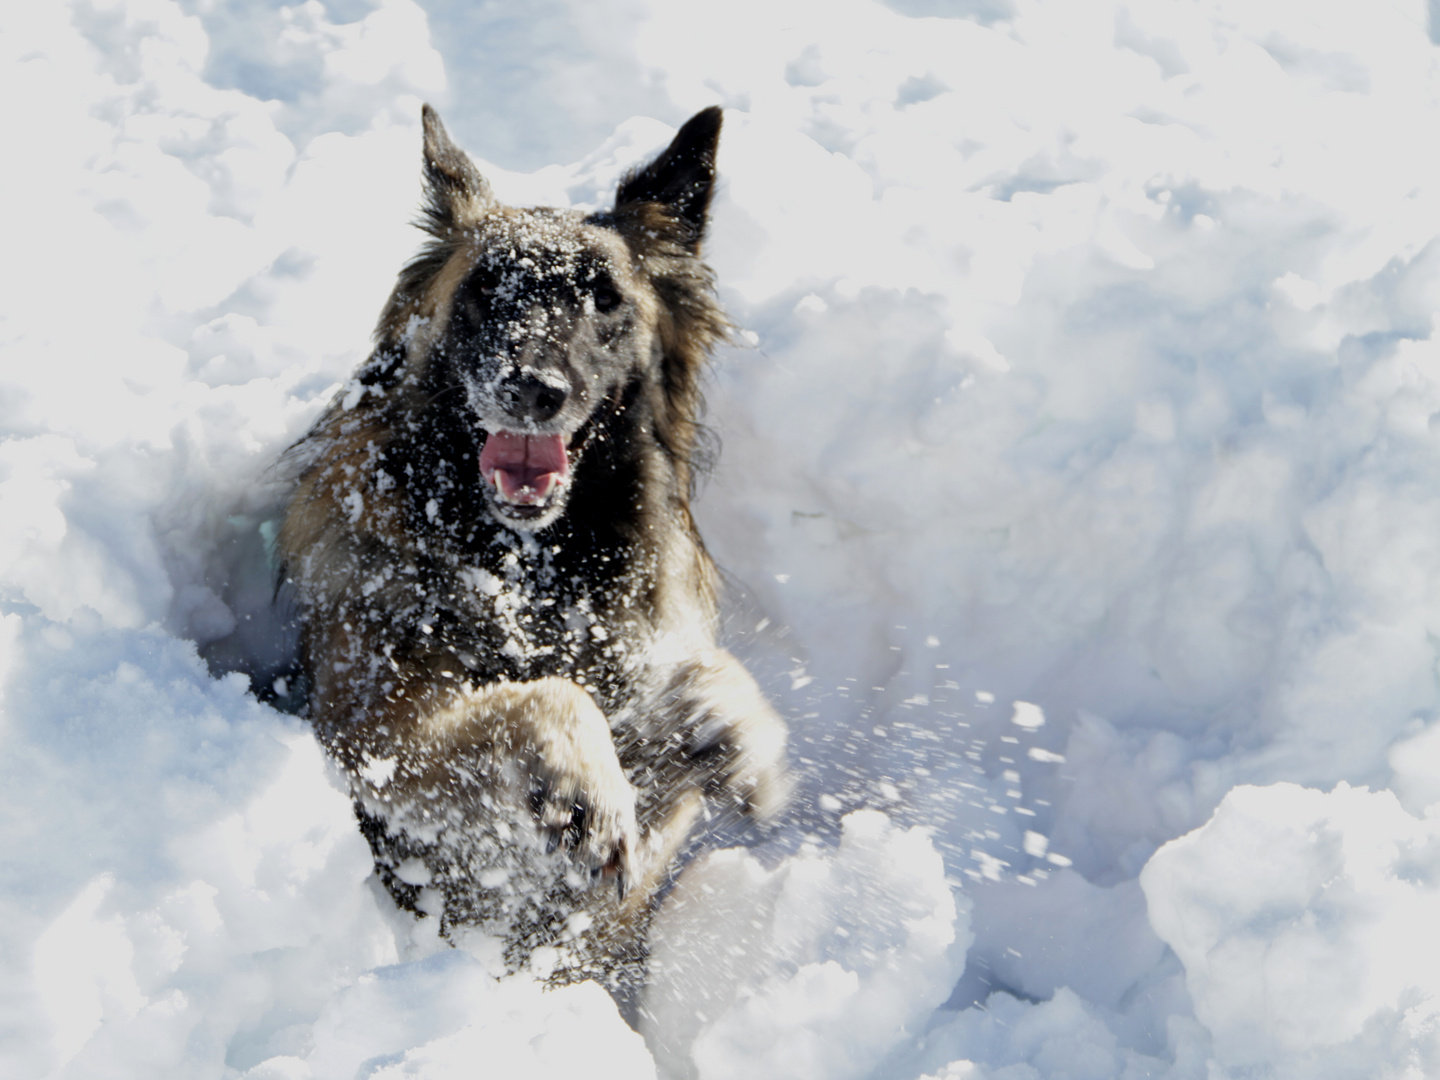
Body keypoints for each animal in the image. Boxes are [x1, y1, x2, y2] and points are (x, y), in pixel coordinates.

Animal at [275, 105, 794, 996]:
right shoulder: (374, 732)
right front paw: (587, 789)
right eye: (485, 288)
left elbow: (704, 685)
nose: (532, 388)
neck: (528, 570)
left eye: (606, 299)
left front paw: (736, 733)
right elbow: (544, 697)